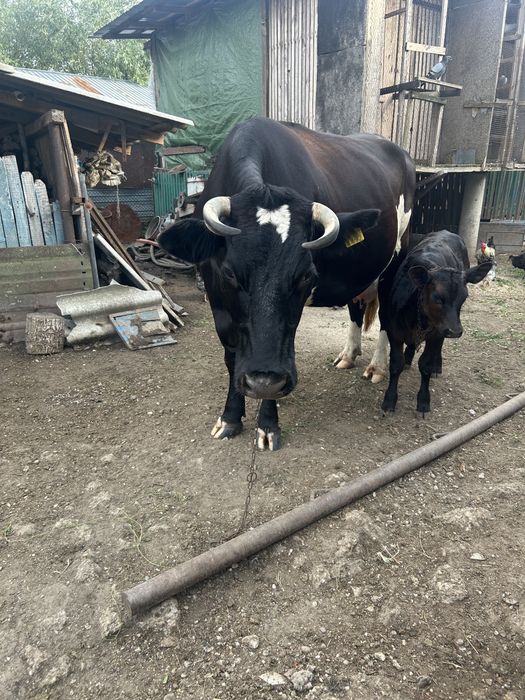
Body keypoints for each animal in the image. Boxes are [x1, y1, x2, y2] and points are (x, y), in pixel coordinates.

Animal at [159, 117, 416, 449]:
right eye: (230, 273)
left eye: (306, 275)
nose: (262, 380)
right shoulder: (216, 295)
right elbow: (231, 356)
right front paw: (230, 418)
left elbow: (282, 345)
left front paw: (268, 424)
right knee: (356, 307)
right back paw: (348, 355)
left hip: (397, 256)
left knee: (386, 316)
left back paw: (377, 367)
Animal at [381, 230, 492, 415]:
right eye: (437, 297)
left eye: (464, 297)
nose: (455, 331)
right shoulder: (394, 330)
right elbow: (396, 364)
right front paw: (389, 400)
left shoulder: (436, 333)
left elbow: (425, 365)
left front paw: (424, 400)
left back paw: (436, 367)